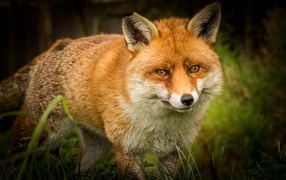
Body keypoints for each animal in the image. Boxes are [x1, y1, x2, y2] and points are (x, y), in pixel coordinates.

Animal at [0, 2, 223, 179]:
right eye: (162, 72)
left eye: (194, 68)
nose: (187, 99)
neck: (160, 125)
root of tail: (60, 43)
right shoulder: (126, 149)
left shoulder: (173, 153)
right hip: (39, 136)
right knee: (10, 162)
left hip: (96, 148)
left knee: (75, 170)